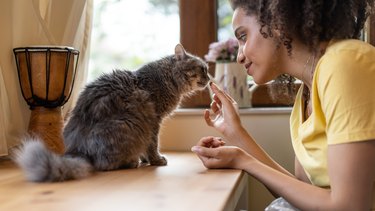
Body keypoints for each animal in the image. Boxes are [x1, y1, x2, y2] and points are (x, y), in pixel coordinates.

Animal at [13, 43, 210, 182]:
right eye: (202, 69)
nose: (209, 78)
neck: (166, 79)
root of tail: (80, 150)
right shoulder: (154, 121)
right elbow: (153, 144)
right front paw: (155, 160)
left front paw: (146, 159)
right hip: (129, 124)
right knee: (104, 165)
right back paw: (131, 162)